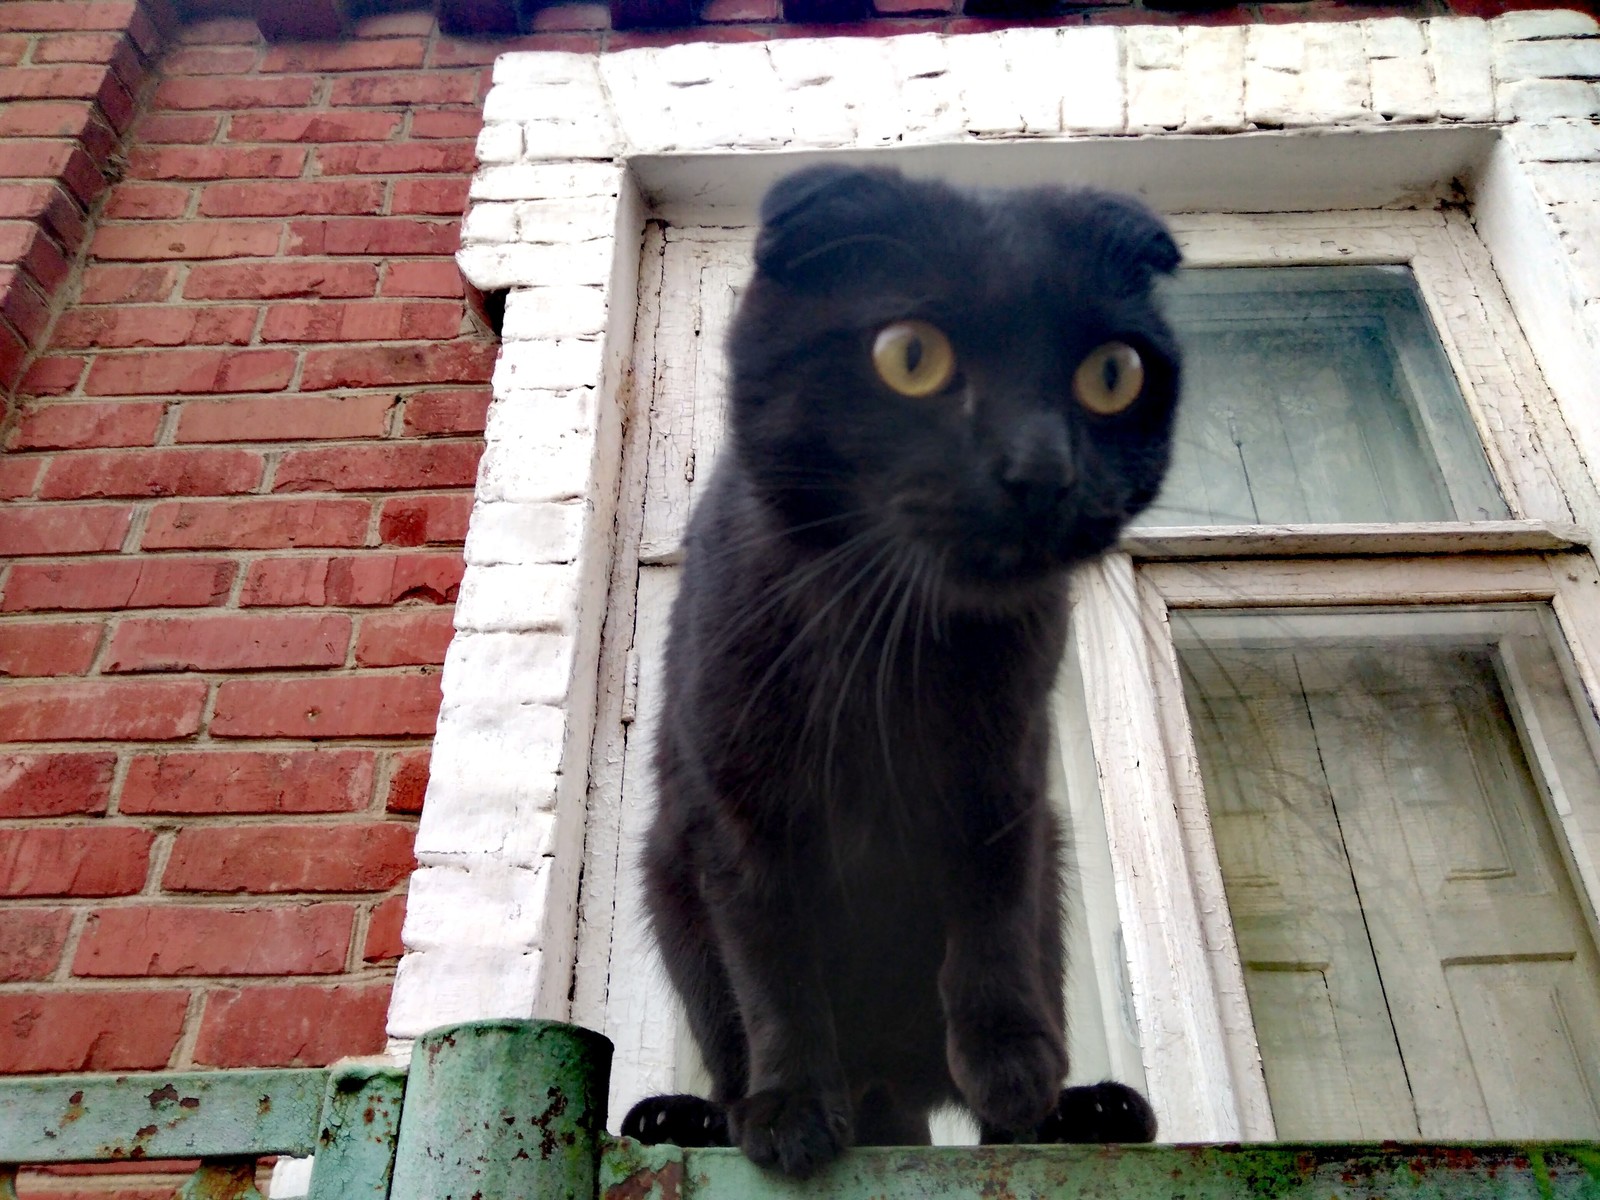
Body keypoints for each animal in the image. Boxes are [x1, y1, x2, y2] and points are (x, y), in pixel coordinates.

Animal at [624, 164, 1190, 1177]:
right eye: (911, 357)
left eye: (1111, 375)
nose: (1040, 468)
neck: (892, 640)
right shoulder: (739, 814)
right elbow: (773, 968)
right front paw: (791, 1108)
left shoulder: (1007, 781)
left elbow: (991, 919)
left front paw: (1013, 1067)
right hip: (668, 882)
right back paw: (696, 1117)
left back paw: (1080, 1111)